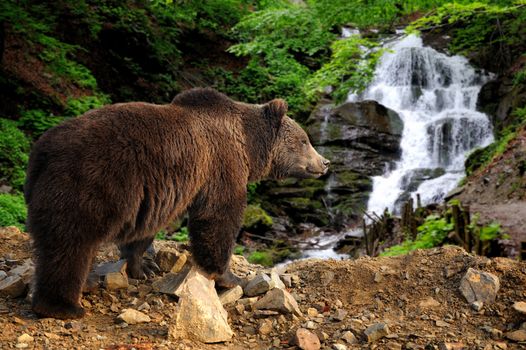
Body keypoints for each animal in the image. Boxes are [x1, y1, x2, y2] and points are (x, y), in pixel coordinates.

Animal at [25, 86, 330, 318]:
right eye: (304, 140)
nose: (325, 162)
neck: (248, 145)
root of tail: (42, 151)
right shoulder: (220, 165)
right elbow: (218, 218)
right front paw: (230, 277)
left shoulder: (158, 193)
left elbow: (145, 230)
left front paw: (143, 267)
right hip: (90, 183)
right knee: (70, 245)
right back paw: (63, 306)